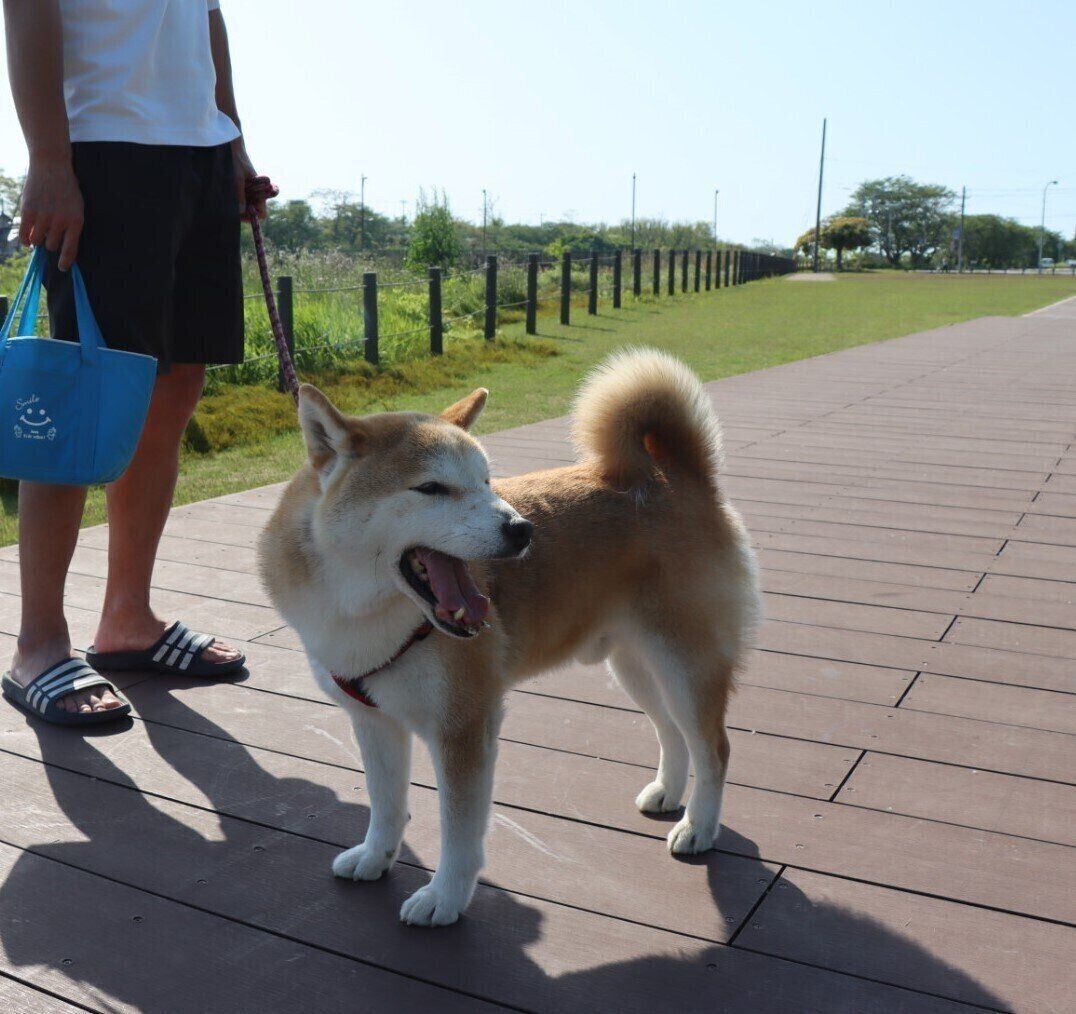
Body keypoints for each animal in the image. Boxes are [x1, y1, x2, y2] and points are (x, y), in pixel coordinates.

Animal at [258, 348, 760, 926]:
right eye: (431, 488)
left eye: (486, 481)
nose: (522, 530)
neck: (362, 612)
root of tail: (676, 474)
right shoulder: (374, 719)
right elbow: (385, 804)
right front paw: (375, 855)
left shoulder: (463, 725)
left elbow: (458, 828)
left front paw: (444, 897)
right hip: (636, 665)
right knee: (672, 732)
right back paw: (668, 793)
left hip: (684, 663)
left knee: (714, 747)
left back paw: (699, 826)